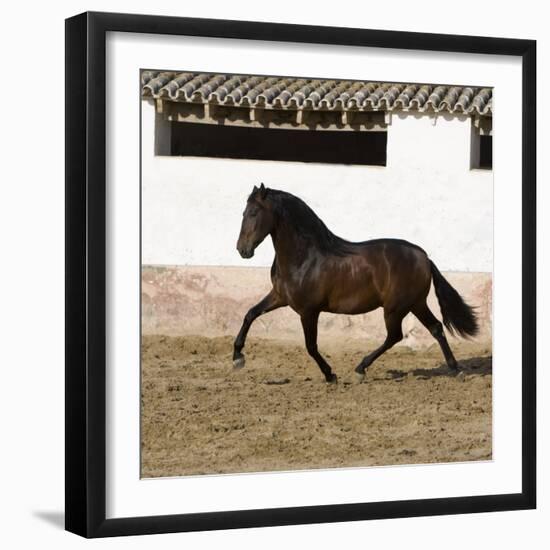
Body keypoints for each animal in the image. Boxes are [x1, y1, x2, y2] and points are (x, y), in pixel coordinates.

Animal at [233, 185, 478, 384]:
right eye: (243, 213)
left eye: (254, 213)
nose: (242, 250)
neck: (304, 257)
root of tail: (424, 258)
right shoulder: (279, 297)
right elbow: (250, 314)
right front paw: (237, 358)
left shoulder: (308, 311)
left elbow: (311, 346)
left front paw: (330, 375)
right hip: (415, 304)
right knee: (435, 328)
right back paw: (455, 369)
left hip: (395, 308)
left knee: (395, 336)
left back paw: (361, 369)